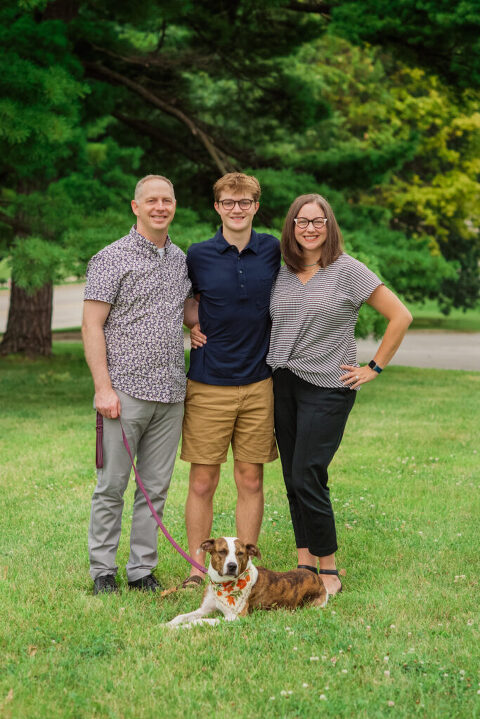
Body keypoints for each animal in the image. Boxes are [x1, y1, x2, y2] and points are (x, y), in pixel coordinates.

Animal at [167, 537, 328, 627]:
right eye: (222, 551)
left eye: (240, 553)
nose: (232, 566)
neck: (223, 584)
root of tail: (319, 580)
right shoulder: (204, 609)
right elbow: (181, 616)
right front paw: (167, 625)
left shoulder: (235, 617)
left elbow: (200, 621)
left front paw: (182, 628)